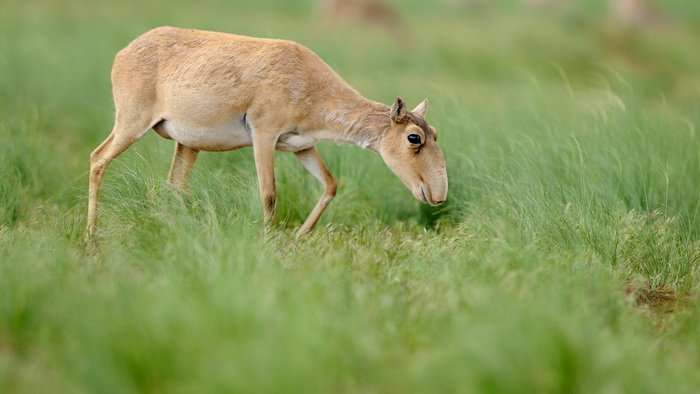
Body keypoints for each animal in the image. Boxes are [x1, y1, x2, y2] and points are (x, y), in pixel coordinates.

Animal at [87, 26, 448, 240]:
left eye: (435, 133)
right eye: (413, 137)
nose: (438, 195)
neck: (311, 84)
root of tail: (124, 52)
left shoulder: (302, 146)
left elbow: (330, 185)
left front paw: (299, 237)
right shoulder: (263, 135)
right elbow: (269, 193)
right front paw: (269, 243)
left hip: (187, 144)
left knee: (174, 185)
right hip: (131, 124)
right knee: (98, 159)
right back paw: (91, 237)